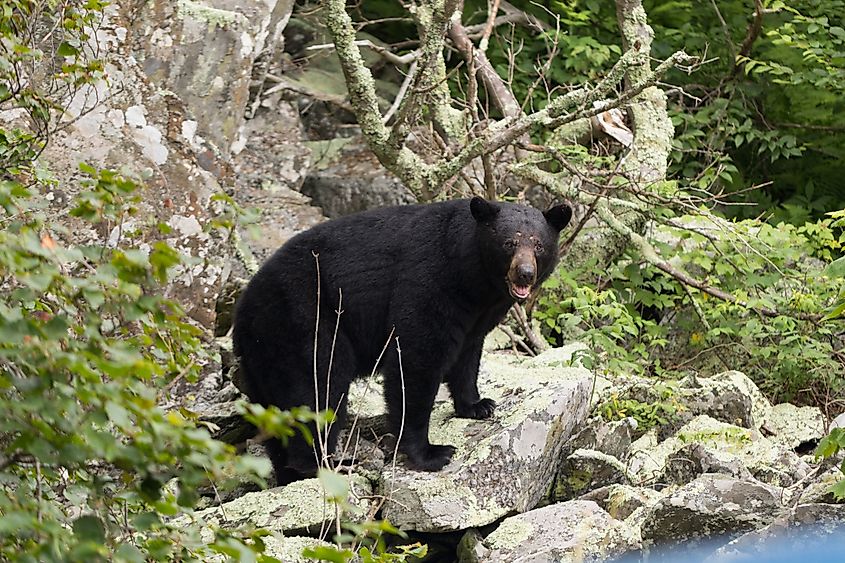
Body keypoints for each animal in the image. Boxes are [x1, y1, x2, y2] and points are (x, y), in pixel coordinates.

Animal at [233, 196, 572, 484]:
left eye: (539, 244)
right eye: (509, 243)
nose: (525, 273)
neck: (472, 277)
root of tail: (244, 310)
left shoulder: (476, 313)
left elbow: (468, 353)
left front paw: (477, 405)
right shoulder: (429, 283)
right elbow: (416, 361)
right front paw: (431, 453)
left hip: (262, 357)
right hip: (304, 322)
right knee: (319, 388)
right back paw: (329, 465)